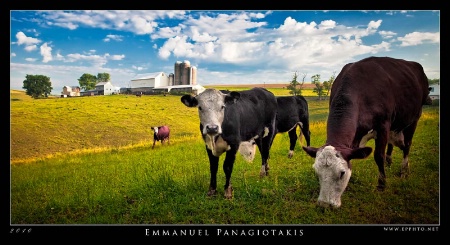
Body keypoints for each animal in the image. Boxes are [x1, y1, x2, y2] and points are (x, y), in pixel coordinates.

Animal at [300, 56, 430, 208]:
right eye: (317, 172)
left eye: (342, 173)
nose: (324, 204)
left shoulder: (383, 125)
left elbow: (378, 155)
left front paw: (381, 185)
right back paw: (389, 162)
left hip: (415, 117)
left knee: (407, 145)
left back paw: (404, 170)